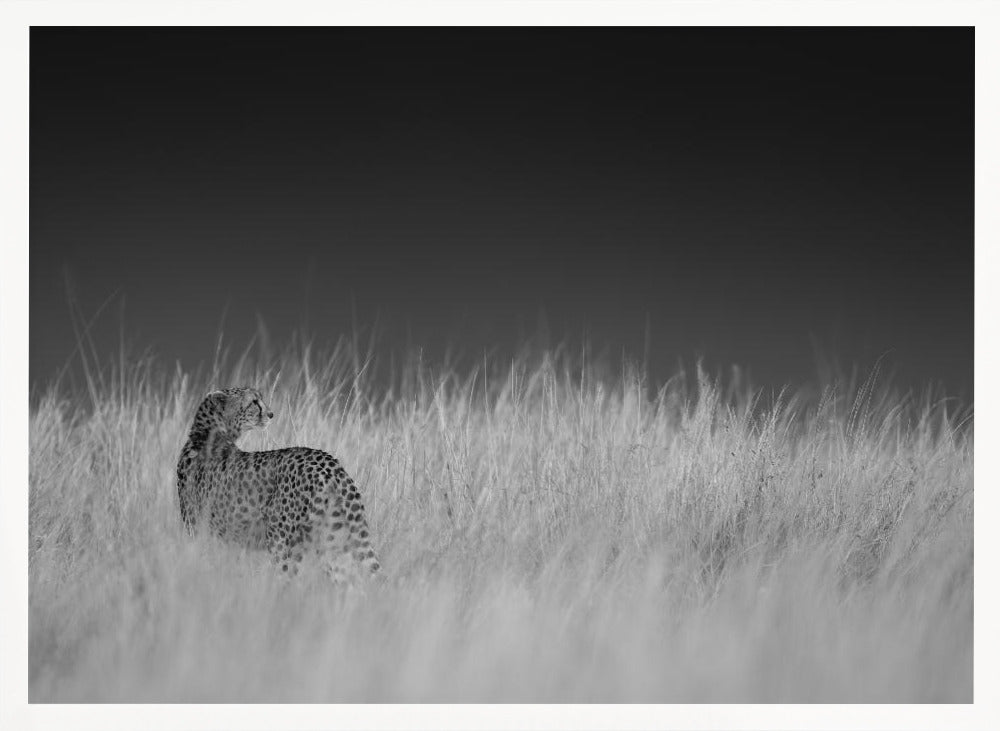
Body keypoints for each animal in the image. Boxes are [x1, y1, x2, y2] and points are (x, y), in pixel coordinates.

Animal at [176, 384, 378, 584]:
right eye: (253, 402)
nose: (271, 414)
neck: (206, 434)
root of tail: (328, 462)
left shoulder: (202, 533)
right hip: (332, 540)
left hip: (282, 542)